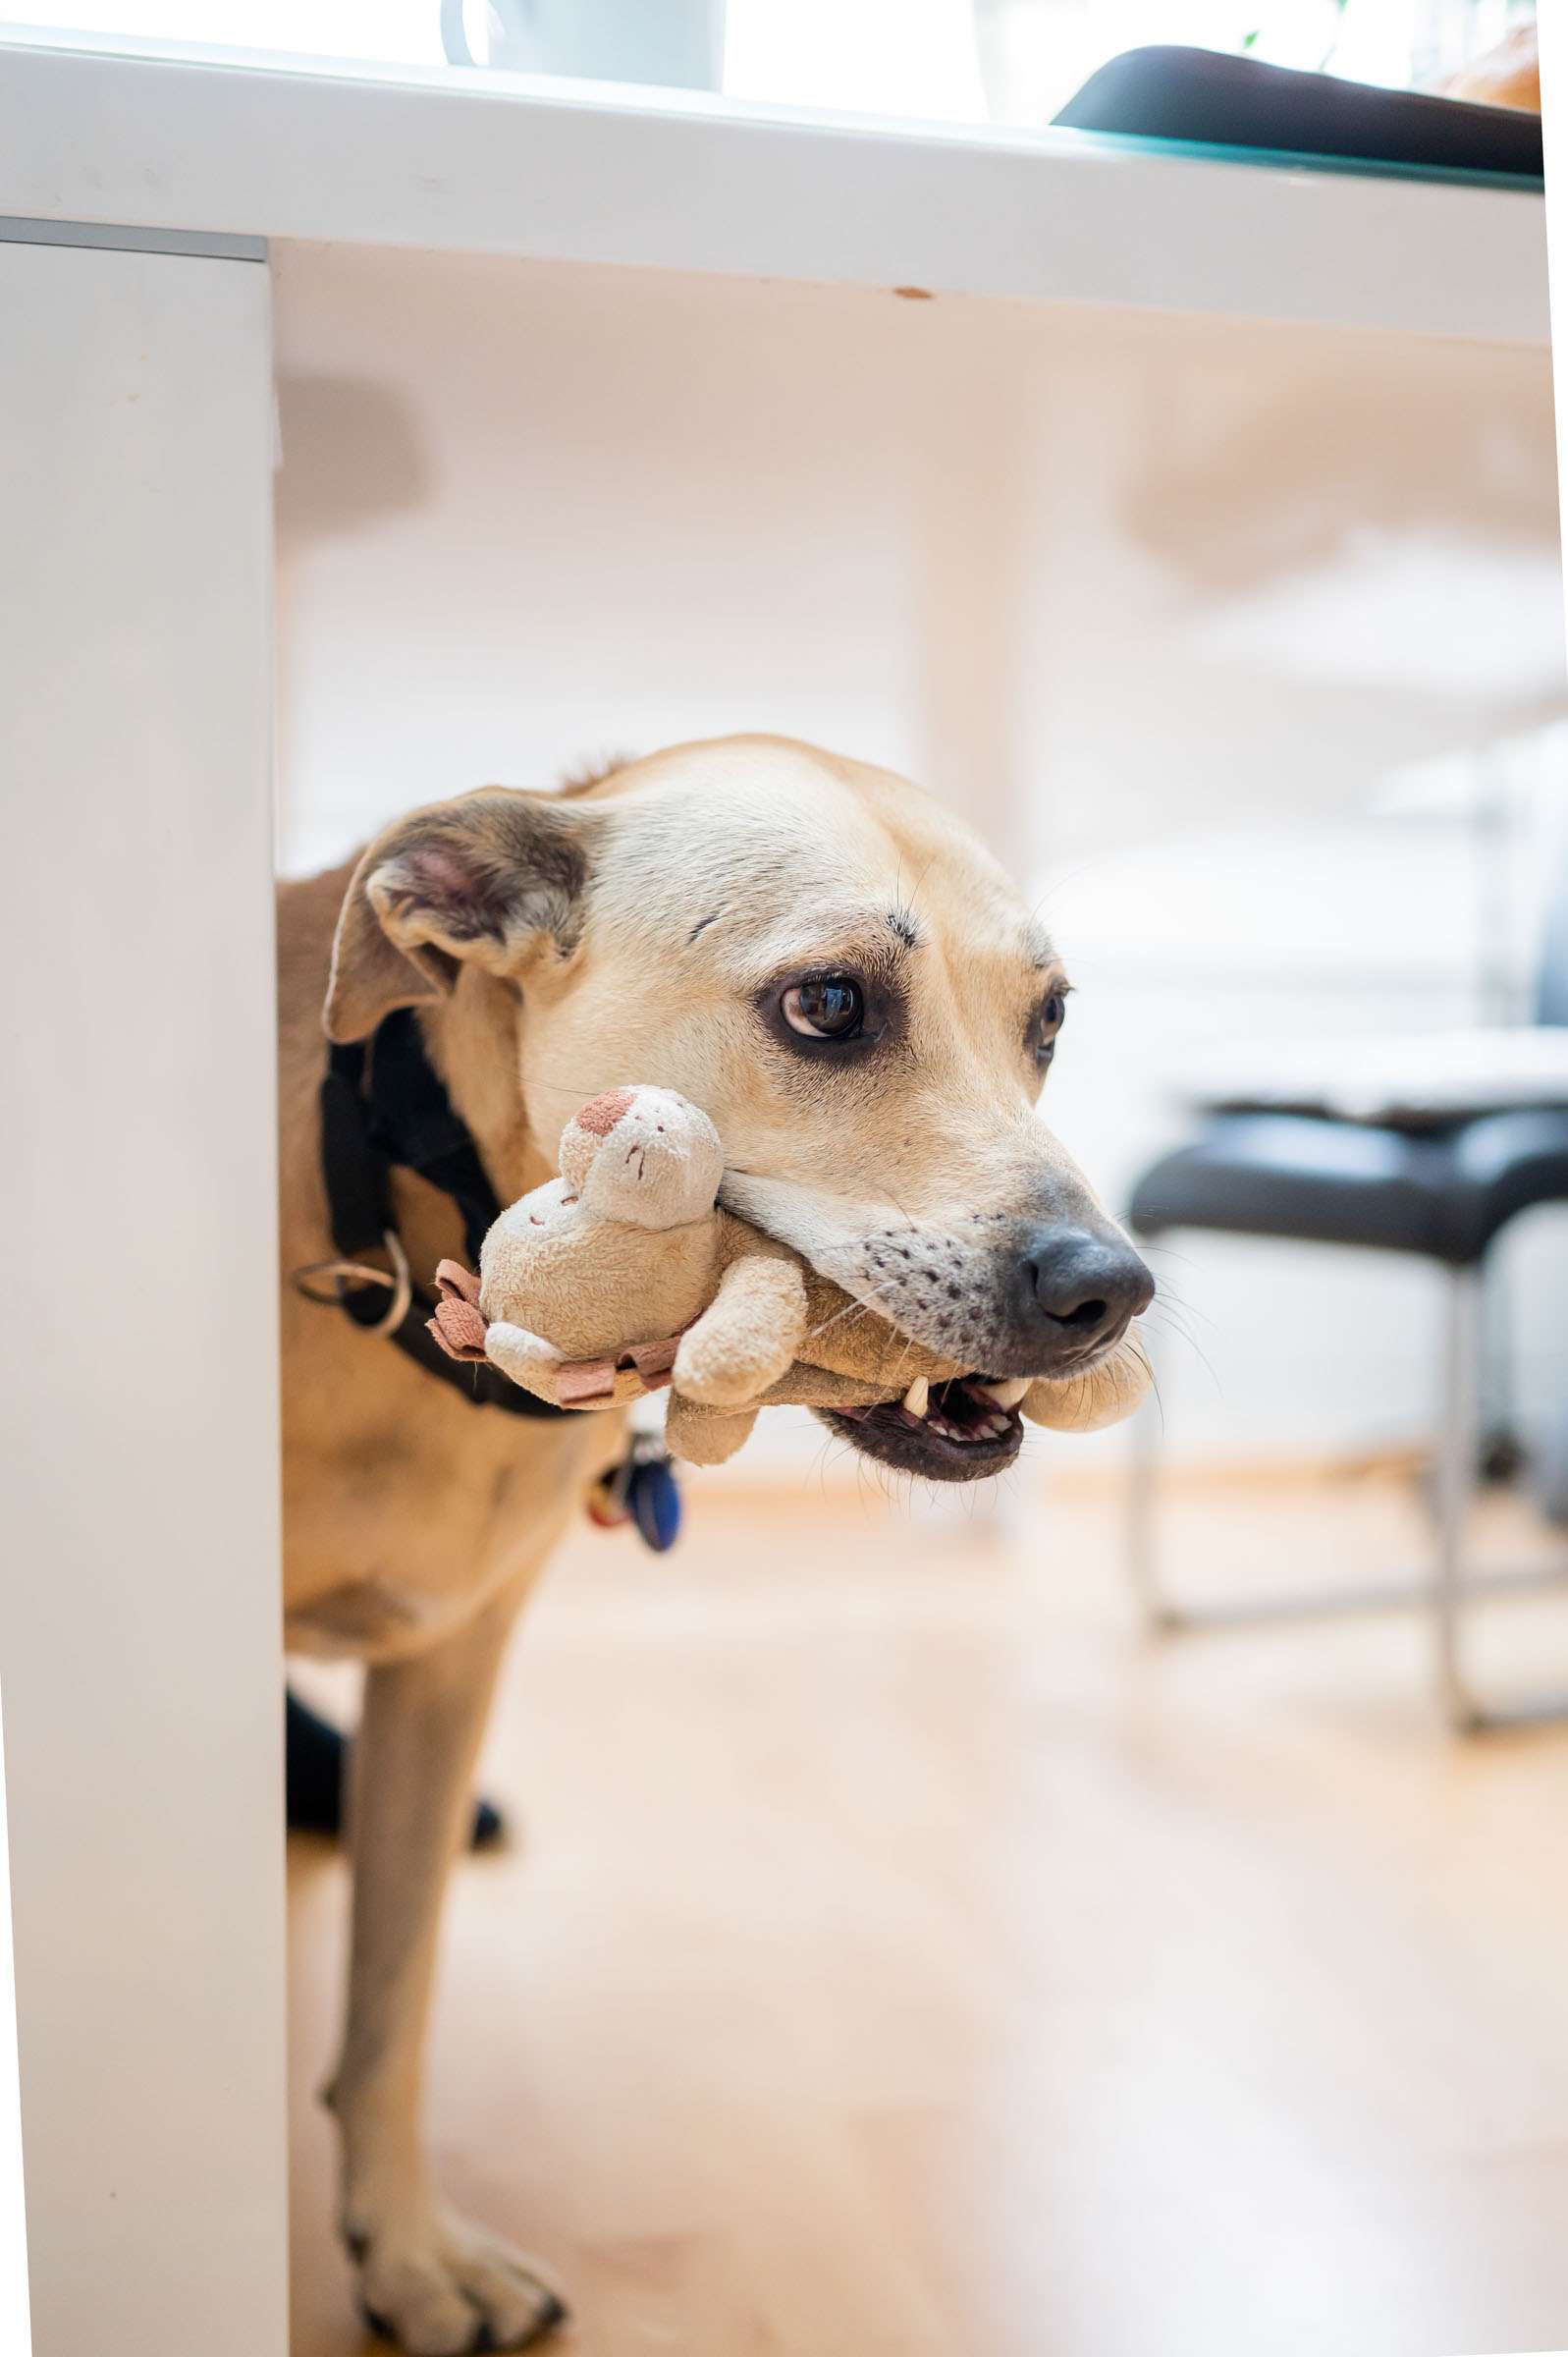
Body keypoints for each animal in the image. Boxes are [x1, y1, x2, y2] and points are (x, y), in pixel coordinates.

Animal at [278, 735, 1153, 2352]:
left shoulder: (446, 1674)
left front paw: (406, 2251)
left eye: (1049, 1021)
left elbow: (393, 2000)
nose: (1109, 1291)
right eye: (828, 1005)